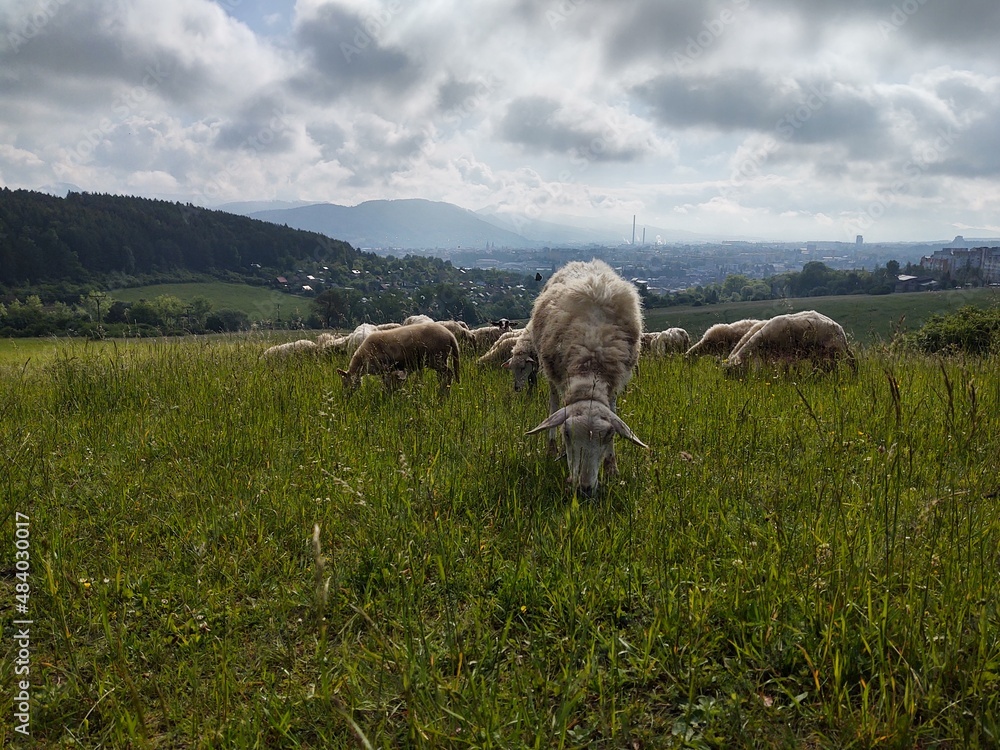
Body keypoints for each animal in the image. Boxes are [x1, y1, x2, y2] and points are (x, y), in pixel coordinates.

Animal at [524, 259, 648, 495]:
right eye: (567, 433)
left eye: (609, 435)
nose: (584, 489)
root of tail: (584, 262)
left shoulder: (615, 386)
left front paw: (612, 467)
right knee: (554, 403)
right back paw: (552, 449)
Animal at [724, 310, 856, 372]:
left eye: (730, 371)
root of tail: (840, 328)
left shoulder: (786, 354)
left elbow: (786, 369)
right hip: (828, 352)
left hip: (837, 349)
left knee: (850, 361)